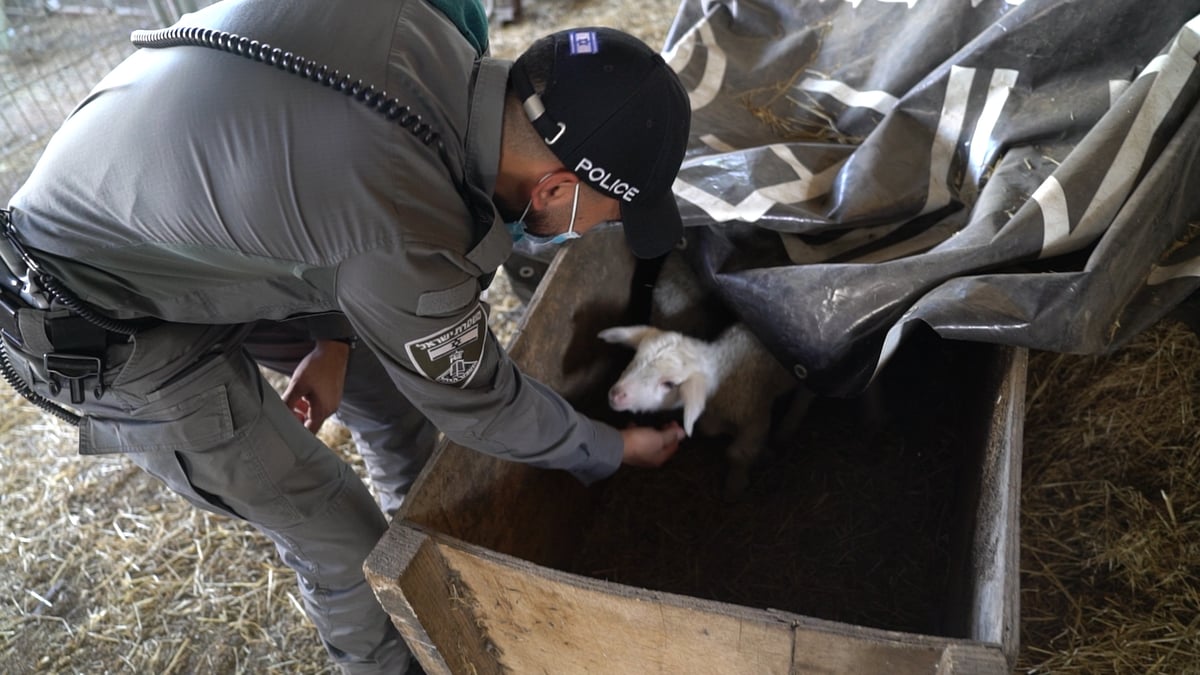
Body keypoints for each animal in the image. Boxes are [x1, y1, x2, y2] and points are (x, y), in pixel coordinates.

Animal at [595, 319, 811, 499]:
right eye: (635, 358)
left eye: (669, 384)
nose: (616, 394)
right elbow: (713, 429)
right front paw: (762, 451)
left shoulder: (756, 417)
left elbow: (738, 453)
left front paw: (735, 485)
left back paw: (787, 427)